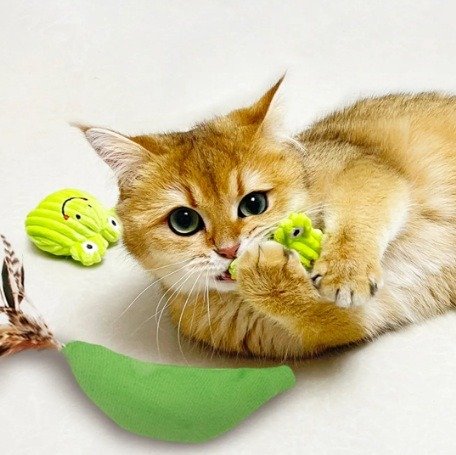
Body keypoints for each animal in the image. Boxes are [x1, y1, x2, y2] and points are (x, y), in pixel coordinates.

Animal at [80, 78, 456, 358]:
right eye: (184, 221)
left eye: (254, 203)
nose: (230, 250)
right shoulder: (359, 319)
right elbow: (323, 317)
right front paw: (272, 277)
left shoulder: (362, 168)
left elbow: (362, 212)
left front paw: (345, 270)